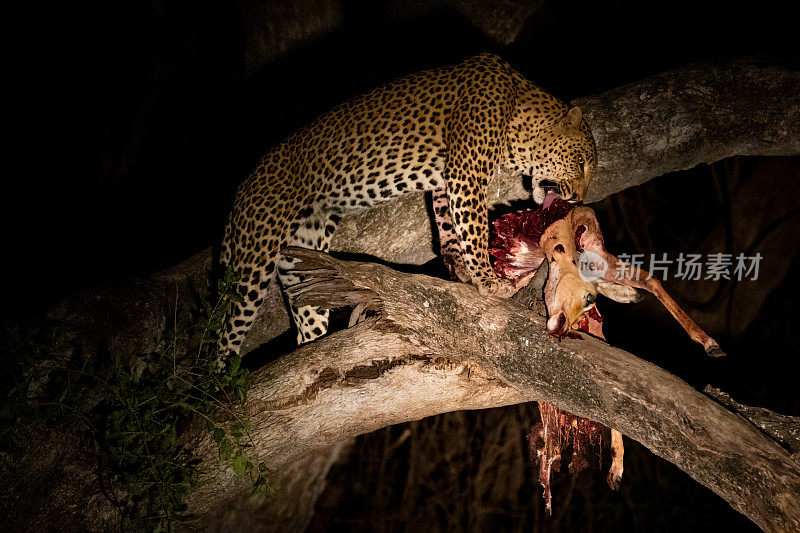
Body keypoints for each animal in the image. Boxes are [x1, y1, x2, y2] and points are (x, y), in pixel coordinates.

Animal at [216, 54, 596, 360]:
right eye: (579, 163)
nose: (579, 198)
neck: (519, 116)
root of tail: (241, 190)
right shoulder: (467, 173)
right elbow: (473, 227)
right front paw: (487, 279)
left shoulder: (447, 180)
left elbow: (449, 226)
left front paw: (460, 268)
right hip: (254, 257)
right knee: (224, 331)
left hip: (301, 253)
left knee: (305, 313)